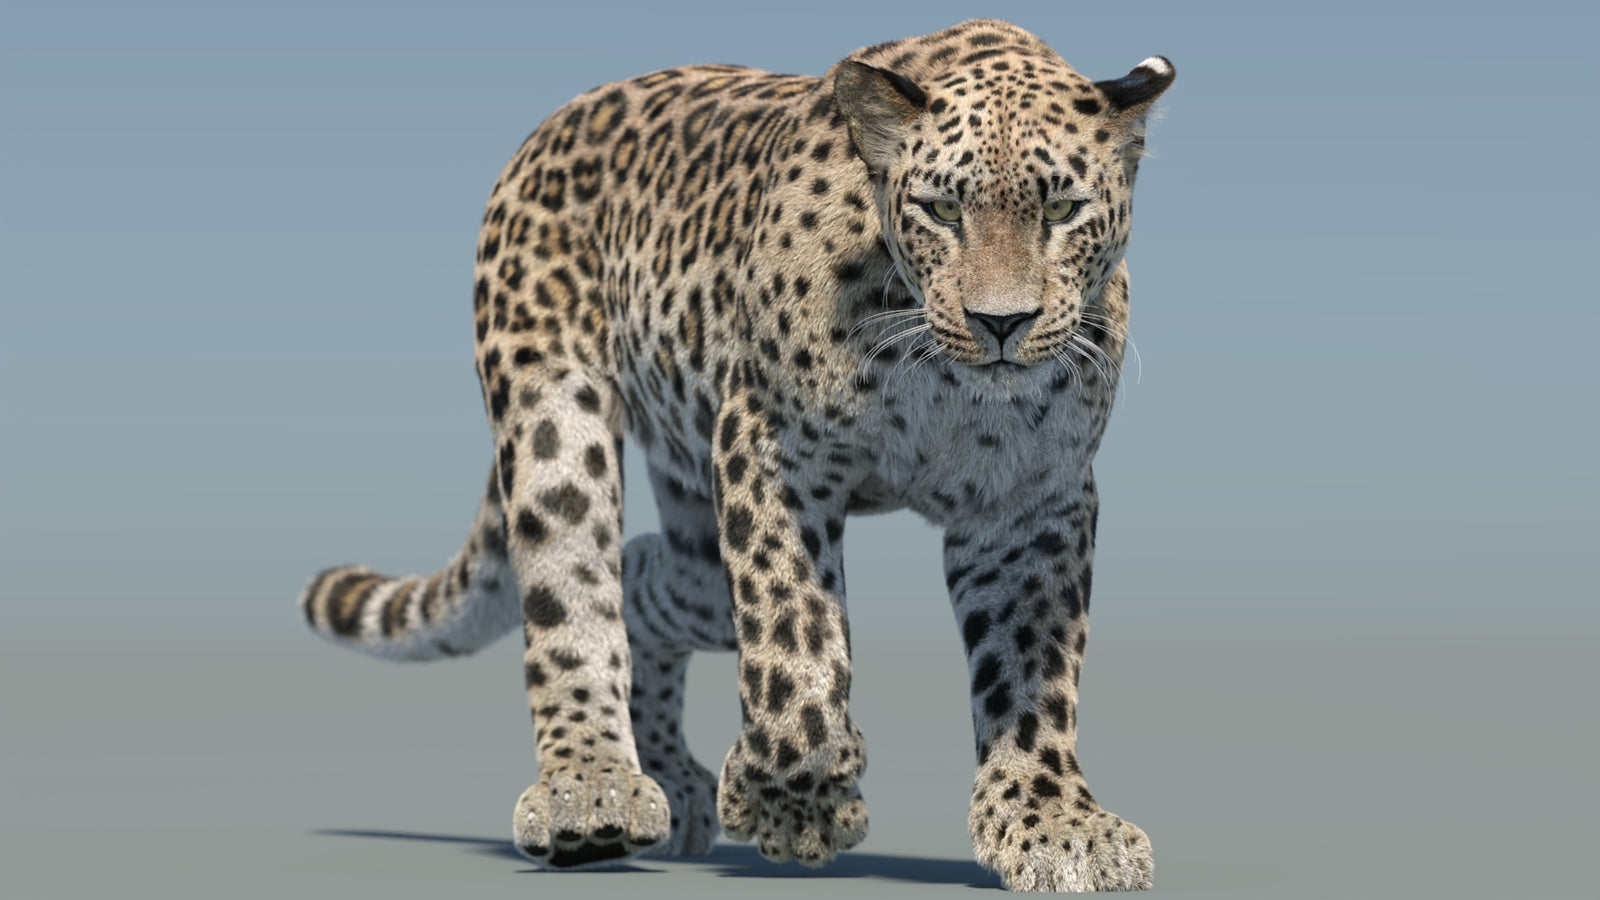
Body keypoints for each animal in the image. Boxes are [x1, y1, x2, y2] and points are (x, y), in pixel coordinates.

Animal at [298, 19, 1173, 892]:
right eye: (941, 209)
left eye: (1061, 209)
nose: (1002, 323)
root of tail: (557, 121)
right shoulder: (772, 445)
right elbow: (795, 636)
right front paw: (795, 804)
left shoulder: (1030, 499)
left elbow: (1030, 668)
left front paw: (1052, 821)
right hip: (553, 409)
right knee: (574, 590)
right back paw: (592, 790)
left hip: (696, 532)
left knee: (643, 575)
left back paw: (671, 780)